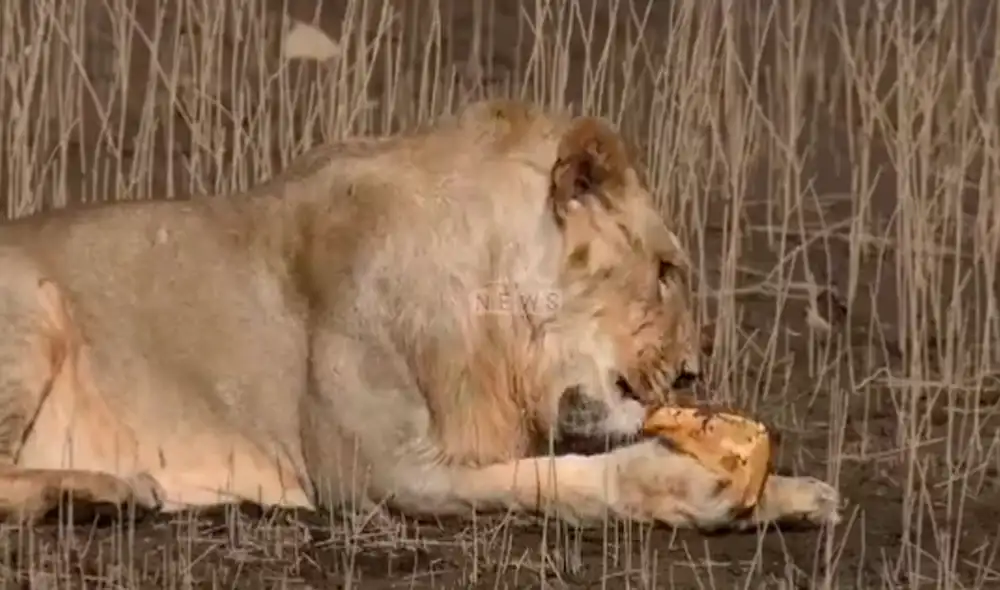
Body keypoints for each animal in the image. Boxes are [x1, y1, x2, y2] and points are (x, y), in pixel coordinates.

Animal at [0, 99, 841, 531]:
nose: (695, 370)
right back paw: (105, 491)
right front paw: (687, 486)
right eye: (667, 272)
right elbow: (554, 479)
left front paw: (794, 493)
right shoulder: (382, 472)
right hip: (33, 311)